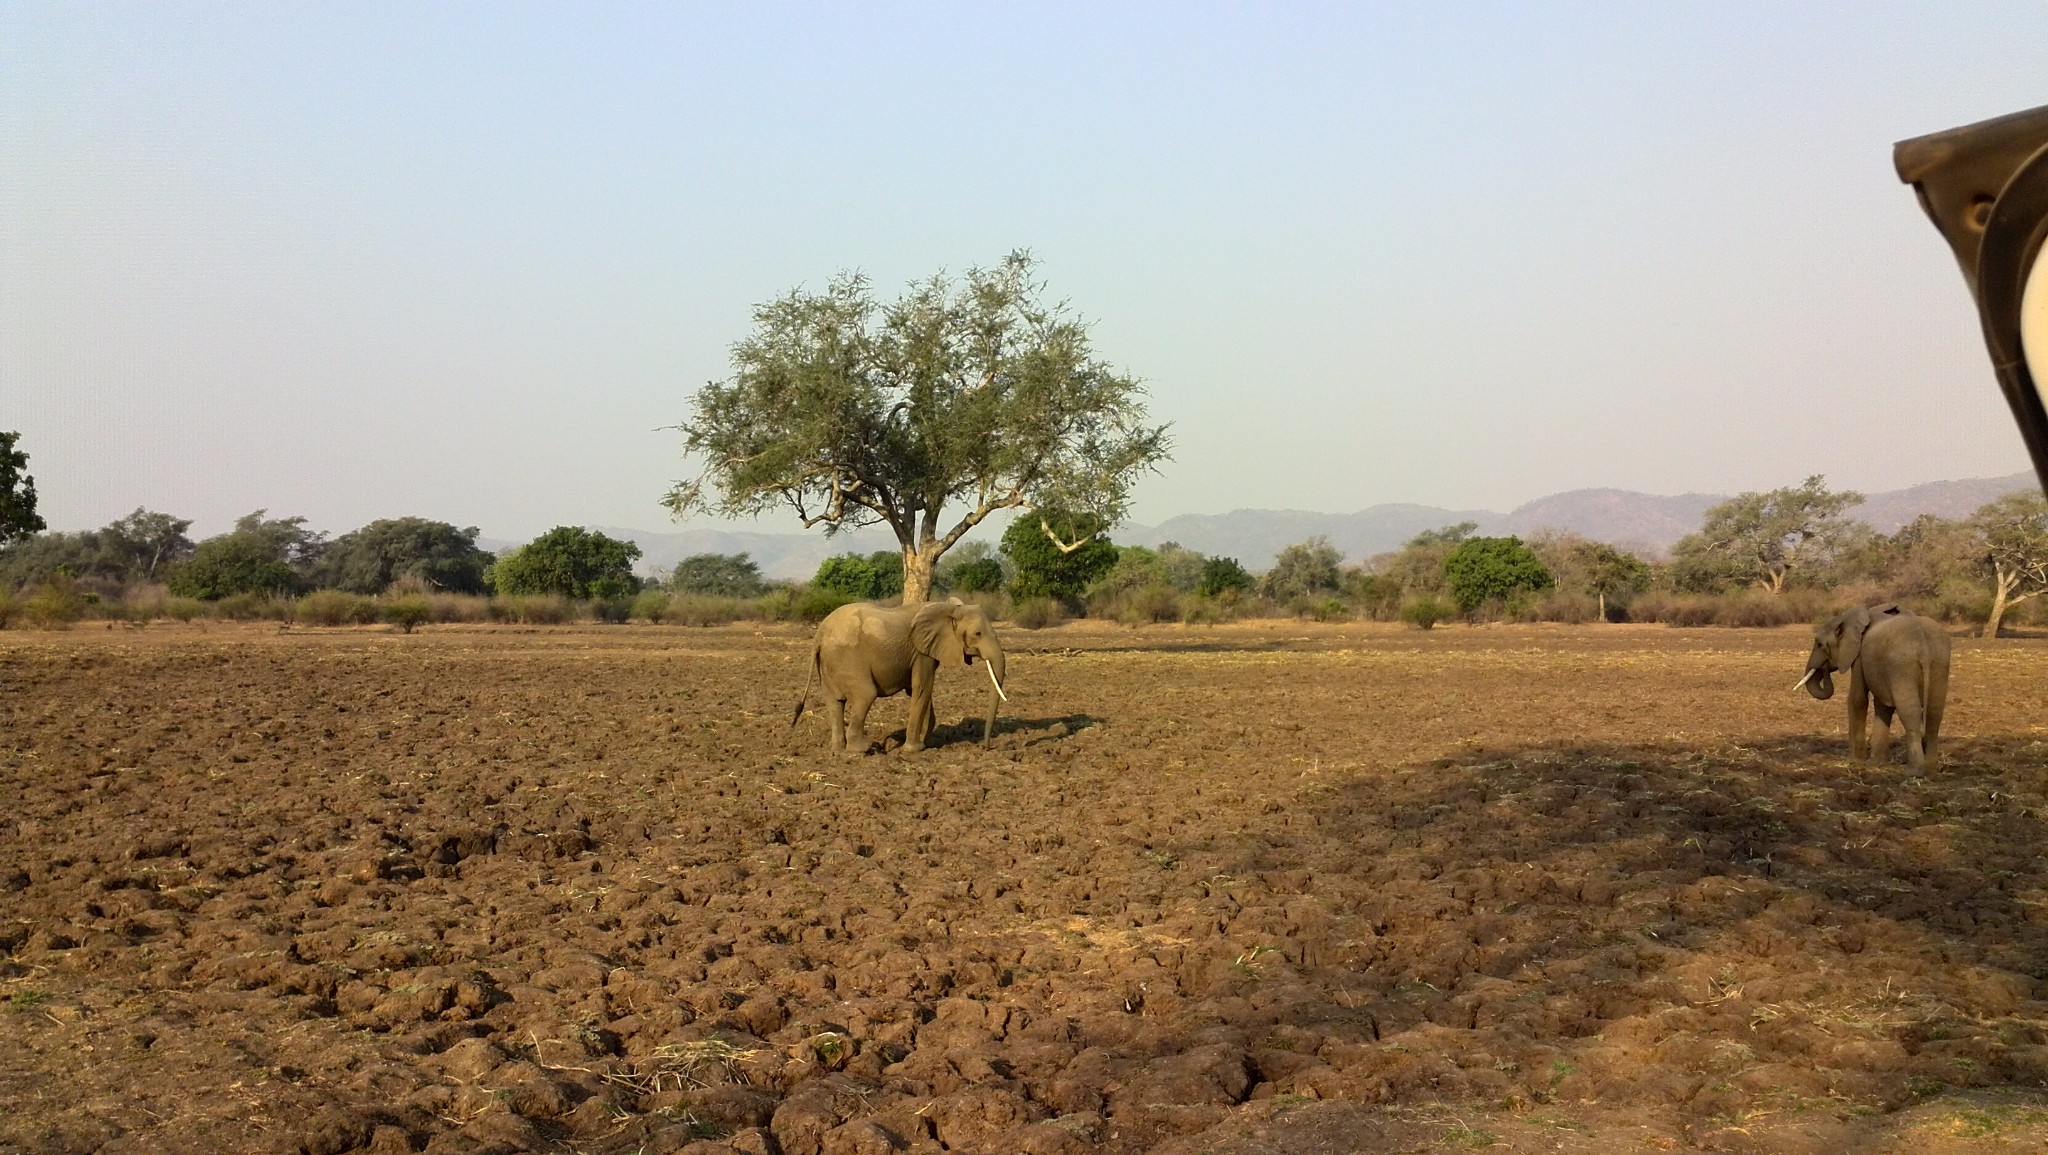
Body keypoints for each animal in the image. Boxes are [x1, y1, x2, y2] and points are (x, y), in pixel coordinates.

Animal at [790, 602, 1007, 753]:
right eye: (977, 634)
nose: (985, 747)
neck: (948, 607)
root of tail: (819, 633)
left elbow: (919, 692)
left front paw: (925, 743)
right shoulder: (921, 653)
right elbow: (922, 687)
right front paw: (914, 750)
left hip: (829, 665)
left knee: (834, 702)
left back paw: (838, 751)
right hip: (847, 659)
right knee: (865, 695)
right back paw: (863, 749)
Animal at [1802, 602, 1957, 770]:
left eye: (1819, 644)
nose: (1823, 667)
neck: (1846, 617)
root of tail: (1924, 645)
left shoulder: (1859, 656)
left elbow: (1857, 699)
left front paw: (1854, 762)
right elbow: (1883, 705)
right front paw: (1877, 762)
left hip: (1901, 665)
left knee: (1910, 711)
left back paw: (1914, 770)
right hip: (1940, 661)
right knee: (1935, 711)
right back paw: (1931, 767)